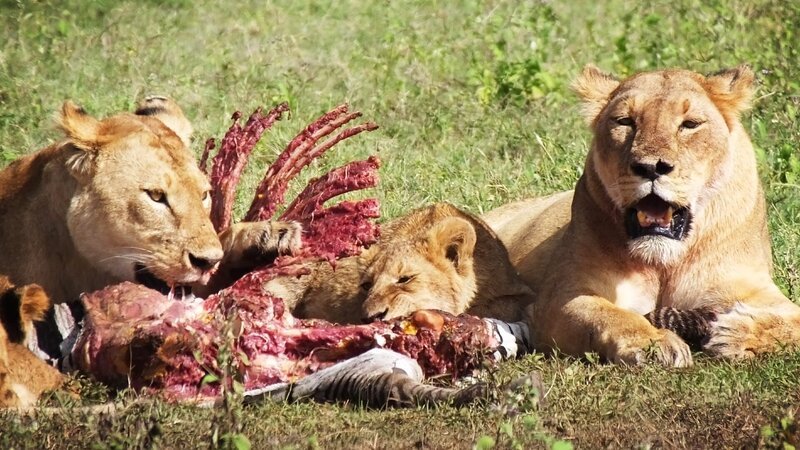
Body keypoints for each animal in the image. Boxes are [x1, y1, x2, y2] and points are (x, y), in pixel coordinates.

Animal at [485, 64, 800, 366]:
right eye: (625, 121)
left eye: (690, 124)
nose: (651, 168)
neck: (664, 263)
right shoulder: (558, 298)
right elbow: (609, 315)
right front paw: (654, 342)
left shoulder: (751, 285)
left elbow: (793, 321)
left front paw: (735, 333)